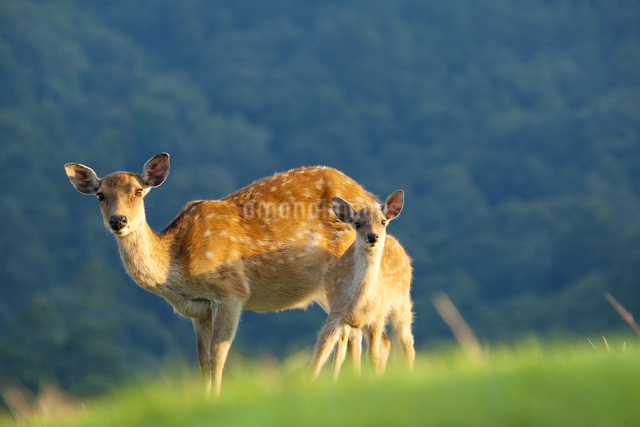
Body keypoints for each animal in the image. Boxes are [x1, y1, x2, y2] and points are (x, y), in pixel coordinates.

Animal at [64, 153, 382, 396]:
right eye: (100, 195)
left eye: (138, 191)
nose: (118, 220)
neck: (177, 265)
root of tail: (369, 195)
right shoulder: (198, 309)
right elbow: (203, 360)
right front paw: (204, 399)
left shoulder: (231, 292)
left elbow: (218, 356)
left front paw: (215, 400)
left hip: (341, 278)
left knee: (350, 332)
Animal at [310, 190, 415, 381]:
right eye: (357, 224)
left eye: (382, 221)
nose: (373, 236)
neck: (358, 301)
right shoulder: (335, 314)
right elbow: (319, 357)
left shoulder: (377, 316)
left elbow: (372, 356)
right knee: (380, 344)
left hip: (403, 301)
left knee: (406, 342)